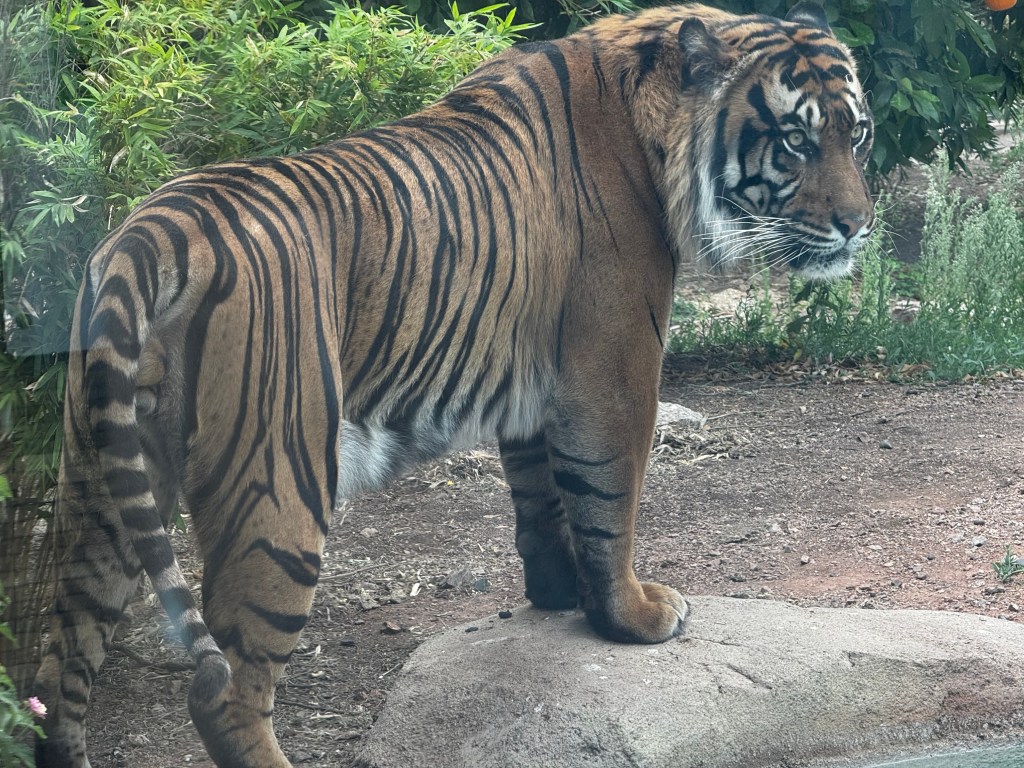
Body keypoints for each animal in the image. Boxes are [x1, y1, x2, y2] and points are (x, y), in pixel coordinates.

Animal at [33, 2, 873, 766]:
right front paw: (632, 616)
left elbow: (541, 492)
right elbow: (609, 500)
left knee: (61, 663)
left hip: (102, 487)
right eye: (796, 141)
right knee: (224, 694)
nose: (858, 225)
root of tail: (149, 233)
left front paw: (557, 592)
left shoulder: (537, 379)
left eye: (855, 134)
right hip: (277, 487)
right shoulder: (614, 369)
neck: (653, 121)